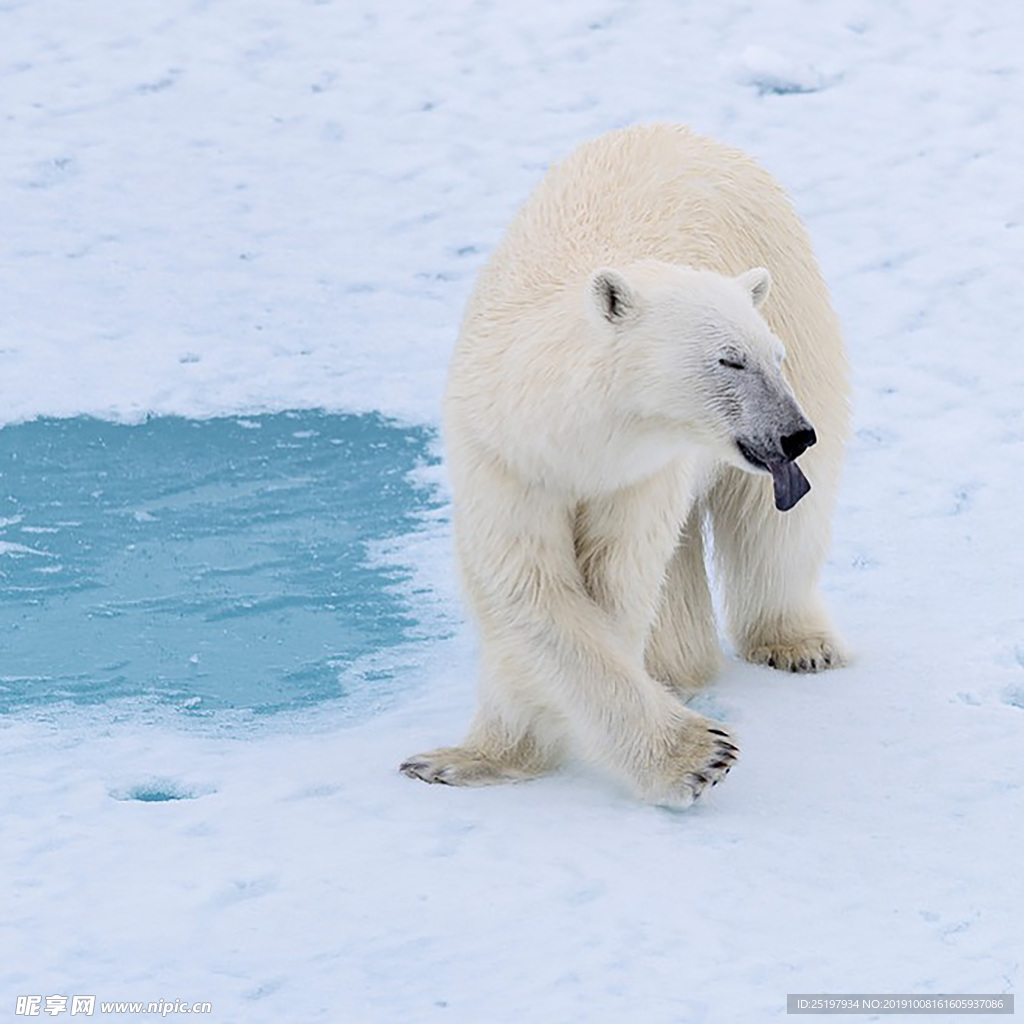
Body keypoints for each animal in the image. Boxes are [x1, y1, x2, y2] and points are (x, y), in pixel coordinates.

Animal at [399, 121, 847, 806]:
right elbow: (529, 595)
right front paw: (470, 758)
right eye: (729, 359)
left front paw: (697, 755)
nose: (796, 436)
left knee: (772, 526)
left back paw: (795, 644)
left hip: (797, 298)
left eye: (771, 355)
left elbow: (611, 590)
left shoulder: (637, 475)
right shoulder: (504, 459)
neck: (572, 436)